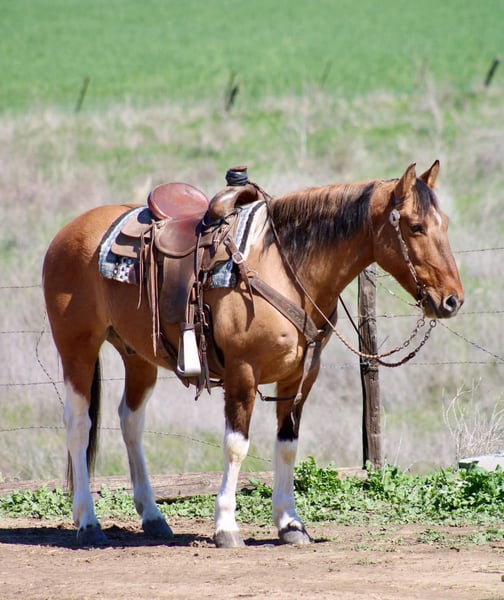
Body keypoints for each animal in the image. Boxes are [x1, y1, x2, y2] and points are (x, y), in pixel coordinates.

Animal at [42, 161, 464, 547]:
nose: (452, 300)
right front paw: (226, 526)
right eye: (415, 226)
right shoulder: (241, 373)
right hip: (77, 346)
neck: (285, 267)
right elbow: (236, 445)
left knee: (130, 422)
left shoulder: (300, 376)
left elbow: (288, 446)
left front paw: (290, 524)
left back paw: (153, 516)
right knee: (79, 425)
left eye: (444, 223)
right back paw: (88, 521)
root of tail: (68, 232)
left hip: (138, 356)